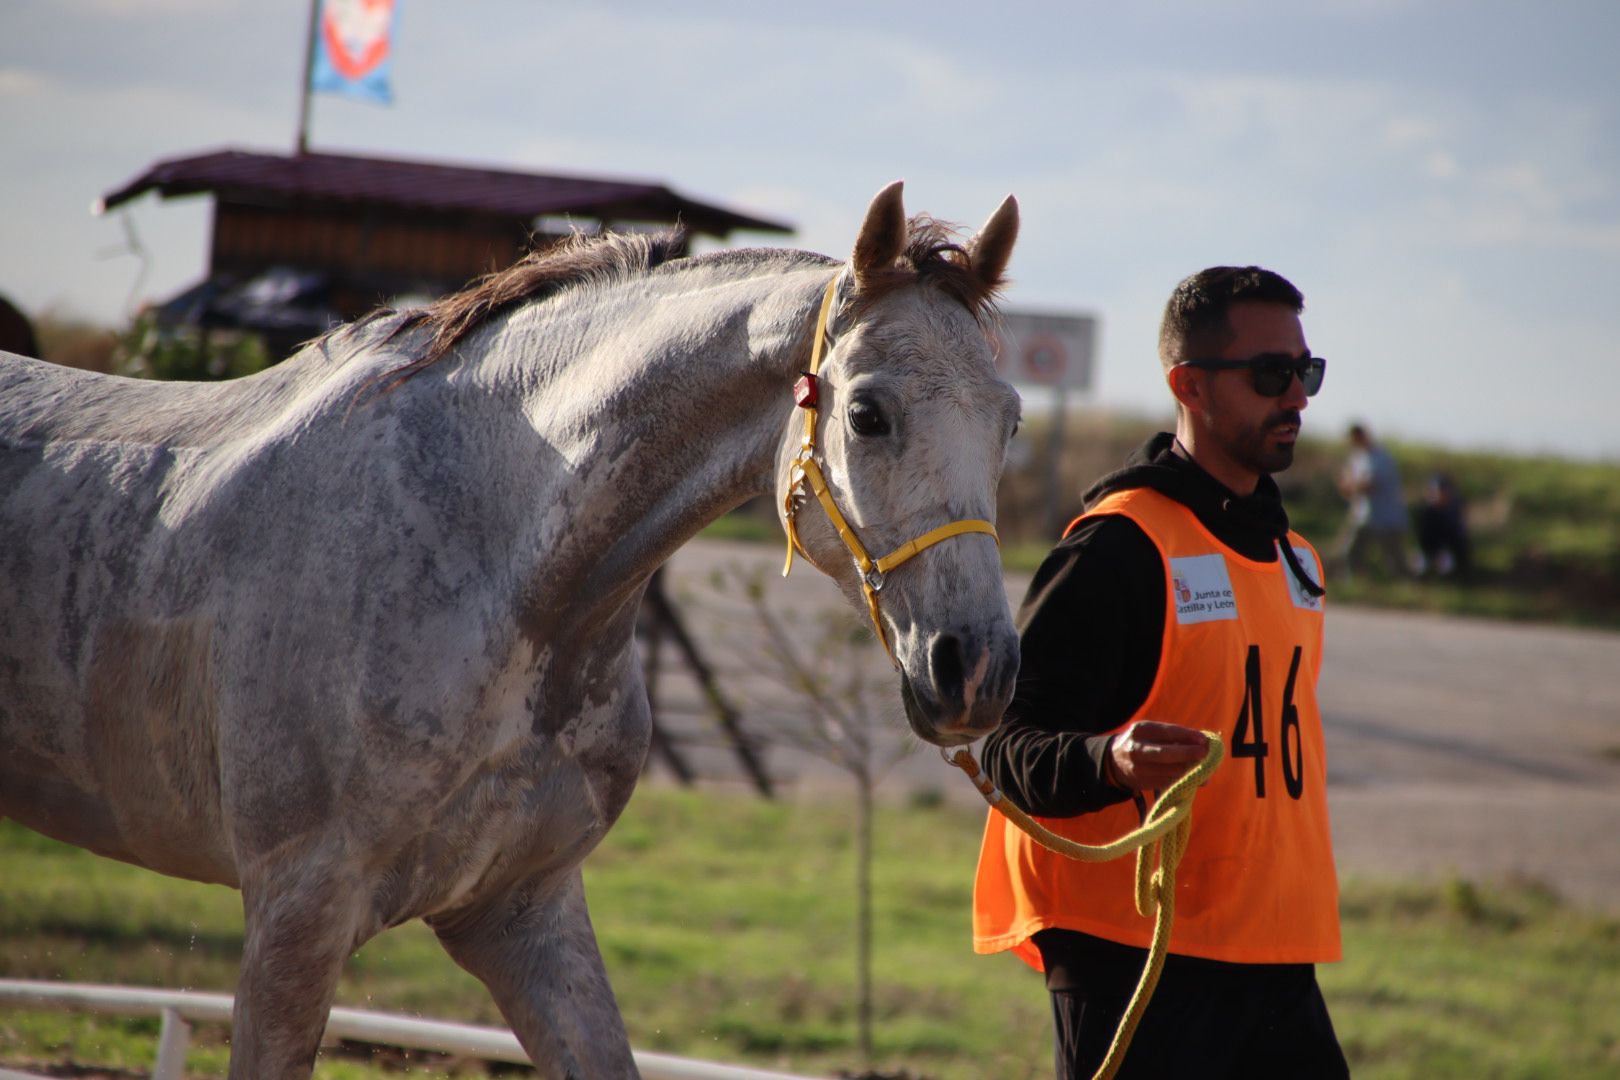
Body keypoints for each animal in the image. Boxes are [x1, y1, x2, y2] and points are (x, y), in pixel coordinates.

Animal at [0, 181, 1017, 1075]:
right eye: (868, 413)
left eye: (1008, 422)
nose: (976, 672)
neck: (494, 564)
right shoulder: (296, 914)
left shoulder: (521, 912)